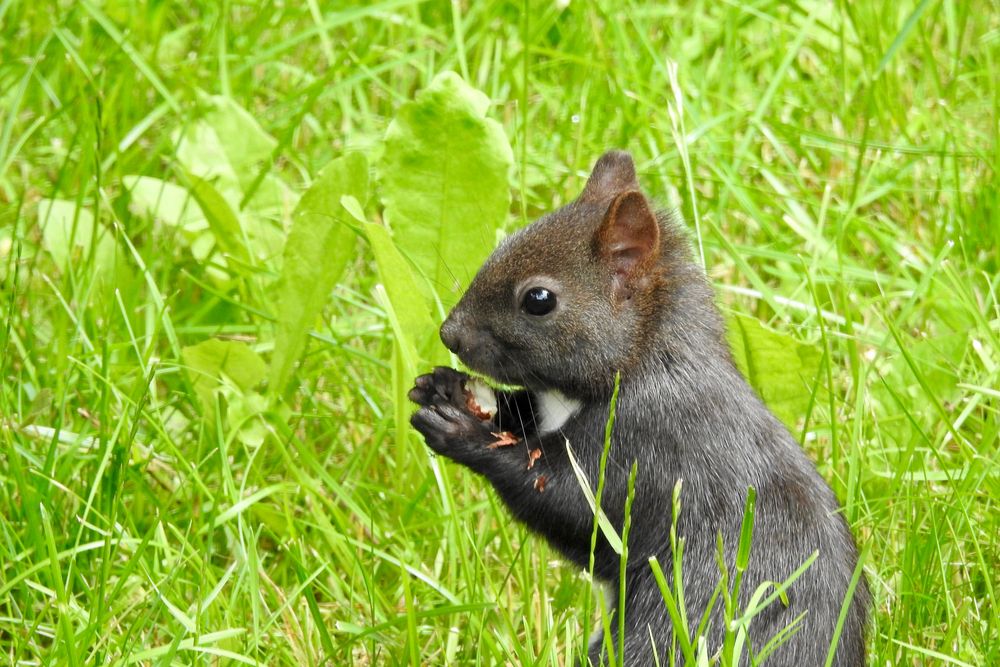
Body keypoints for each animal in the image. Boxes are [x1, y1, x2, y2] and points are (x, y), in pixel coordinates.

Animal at [406, 153, 868, 667]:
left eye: (538, 300)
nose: (450, 334)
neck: (642, 357)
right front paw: (445, 388)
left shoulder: (644, 445)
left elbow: (569, 504)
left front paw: (461, 432)